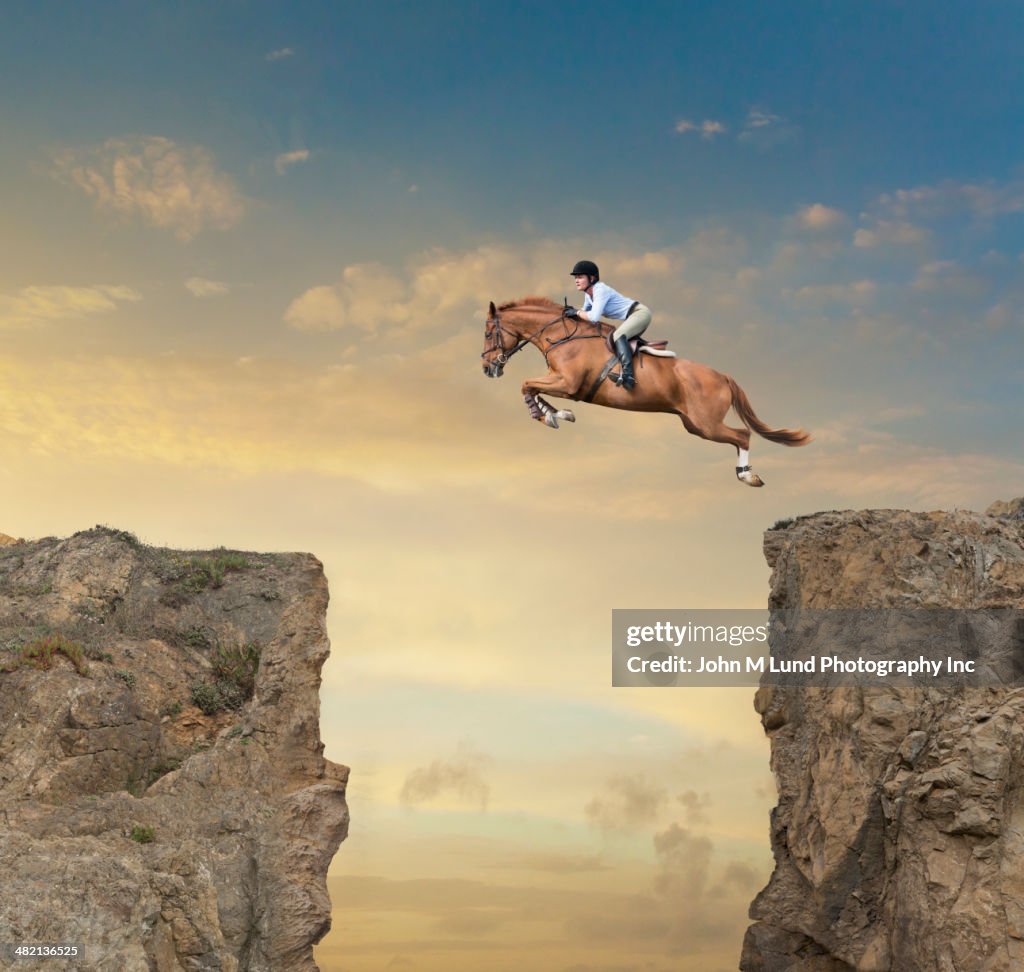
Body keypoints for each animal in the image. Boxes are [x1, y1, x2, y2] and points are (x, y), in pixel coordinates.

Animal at [483, 294, 811, 489]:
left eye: (488, 333)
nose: (488, 368)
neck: (562, 335)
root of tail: (723, 376)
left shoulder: (568, 383)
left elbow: (526, 384)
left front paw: (550, 416)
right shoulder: (557, 380)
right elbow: (530, 387)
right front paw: (557, 414)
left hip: (705, 423)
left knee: (742, 435)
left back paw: (748, 475)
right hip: (694, 425)